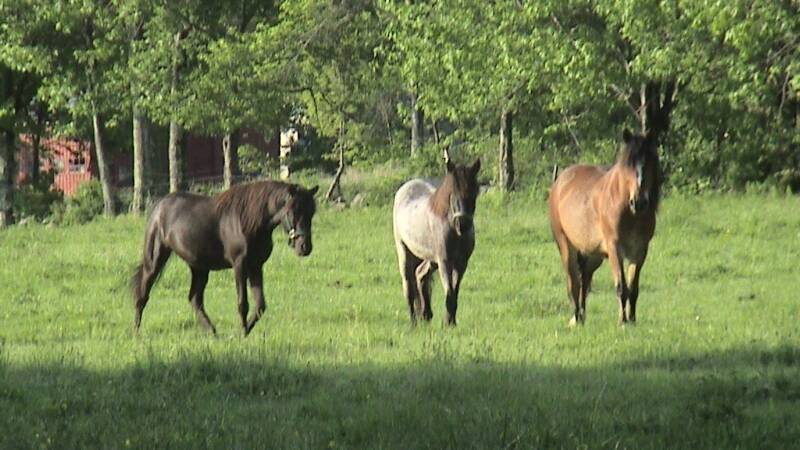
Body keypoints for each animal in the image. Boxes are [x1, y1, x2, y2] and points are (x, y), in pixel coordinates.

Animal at [131, 180, 319, 336]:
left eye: (312, 213)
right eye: (293, 211)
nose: (305, 247)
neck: (249, 221)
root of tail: (159, 207)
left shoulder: (256, 266)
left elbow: (260, 305)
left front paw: (246, 331)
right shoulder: (240, 265)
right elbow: (243, 303)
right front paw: (242, 332)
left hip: (199, 268)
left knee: (194, 299)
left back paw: (212, 332)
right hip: (154, 260)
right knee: (142, 294)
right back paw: (136, 332)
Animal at [393, 158, 481, 325]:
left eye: (475, 192)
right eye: (453, 193)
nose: (463, 224)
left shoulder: (461, 263)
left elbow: (455, 293)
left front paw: (451, 321)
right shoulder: (445, 262)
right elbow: (449, 293)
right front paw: (448, 323)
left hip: (431, 259)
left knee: (420, 275)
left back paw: (426, 315)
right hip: (405, 252)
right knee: (409, 287)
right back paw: (413, 322)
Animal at [548, 129, 661, 326]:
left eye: (649, 162)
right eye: (628, 164)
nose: (638, 202)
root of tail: (559, 182)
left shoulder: (640, 251)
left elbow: (633, 289)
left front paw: (632, 320)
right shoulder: (615, 248)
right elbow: (621, 287)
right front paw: (623, 322)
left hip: (593, 256)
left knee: (584, 281)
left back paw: (582, 316)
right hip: (566, 245)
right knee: (573, 282)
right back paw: (575, 318)